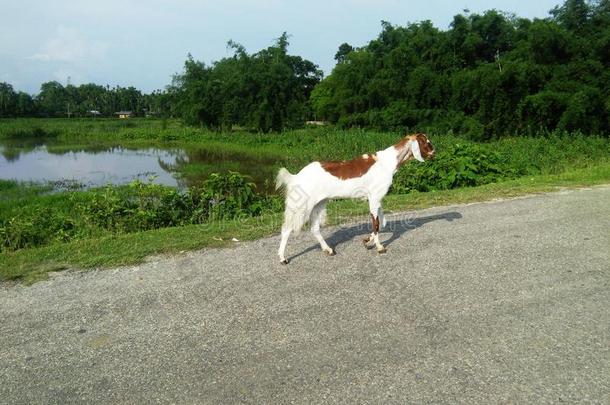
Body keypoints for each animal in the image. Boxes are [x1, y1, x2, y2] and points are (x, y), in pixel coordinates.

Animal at [274, 133, 434, 266]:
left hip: (319, 204)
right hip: (302, 205)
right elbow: (376, 223)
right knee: (286, 229)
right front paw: (379, 247)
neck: (387, 163)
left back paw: (328, 249)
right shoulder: (374, 197)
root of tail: (296, 176)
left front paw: (367, 241)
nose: (435, 152)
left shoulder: (377, 198)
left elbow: (382, 222)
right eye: (426, 142)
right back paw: (282, 258)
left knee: (314, 228)